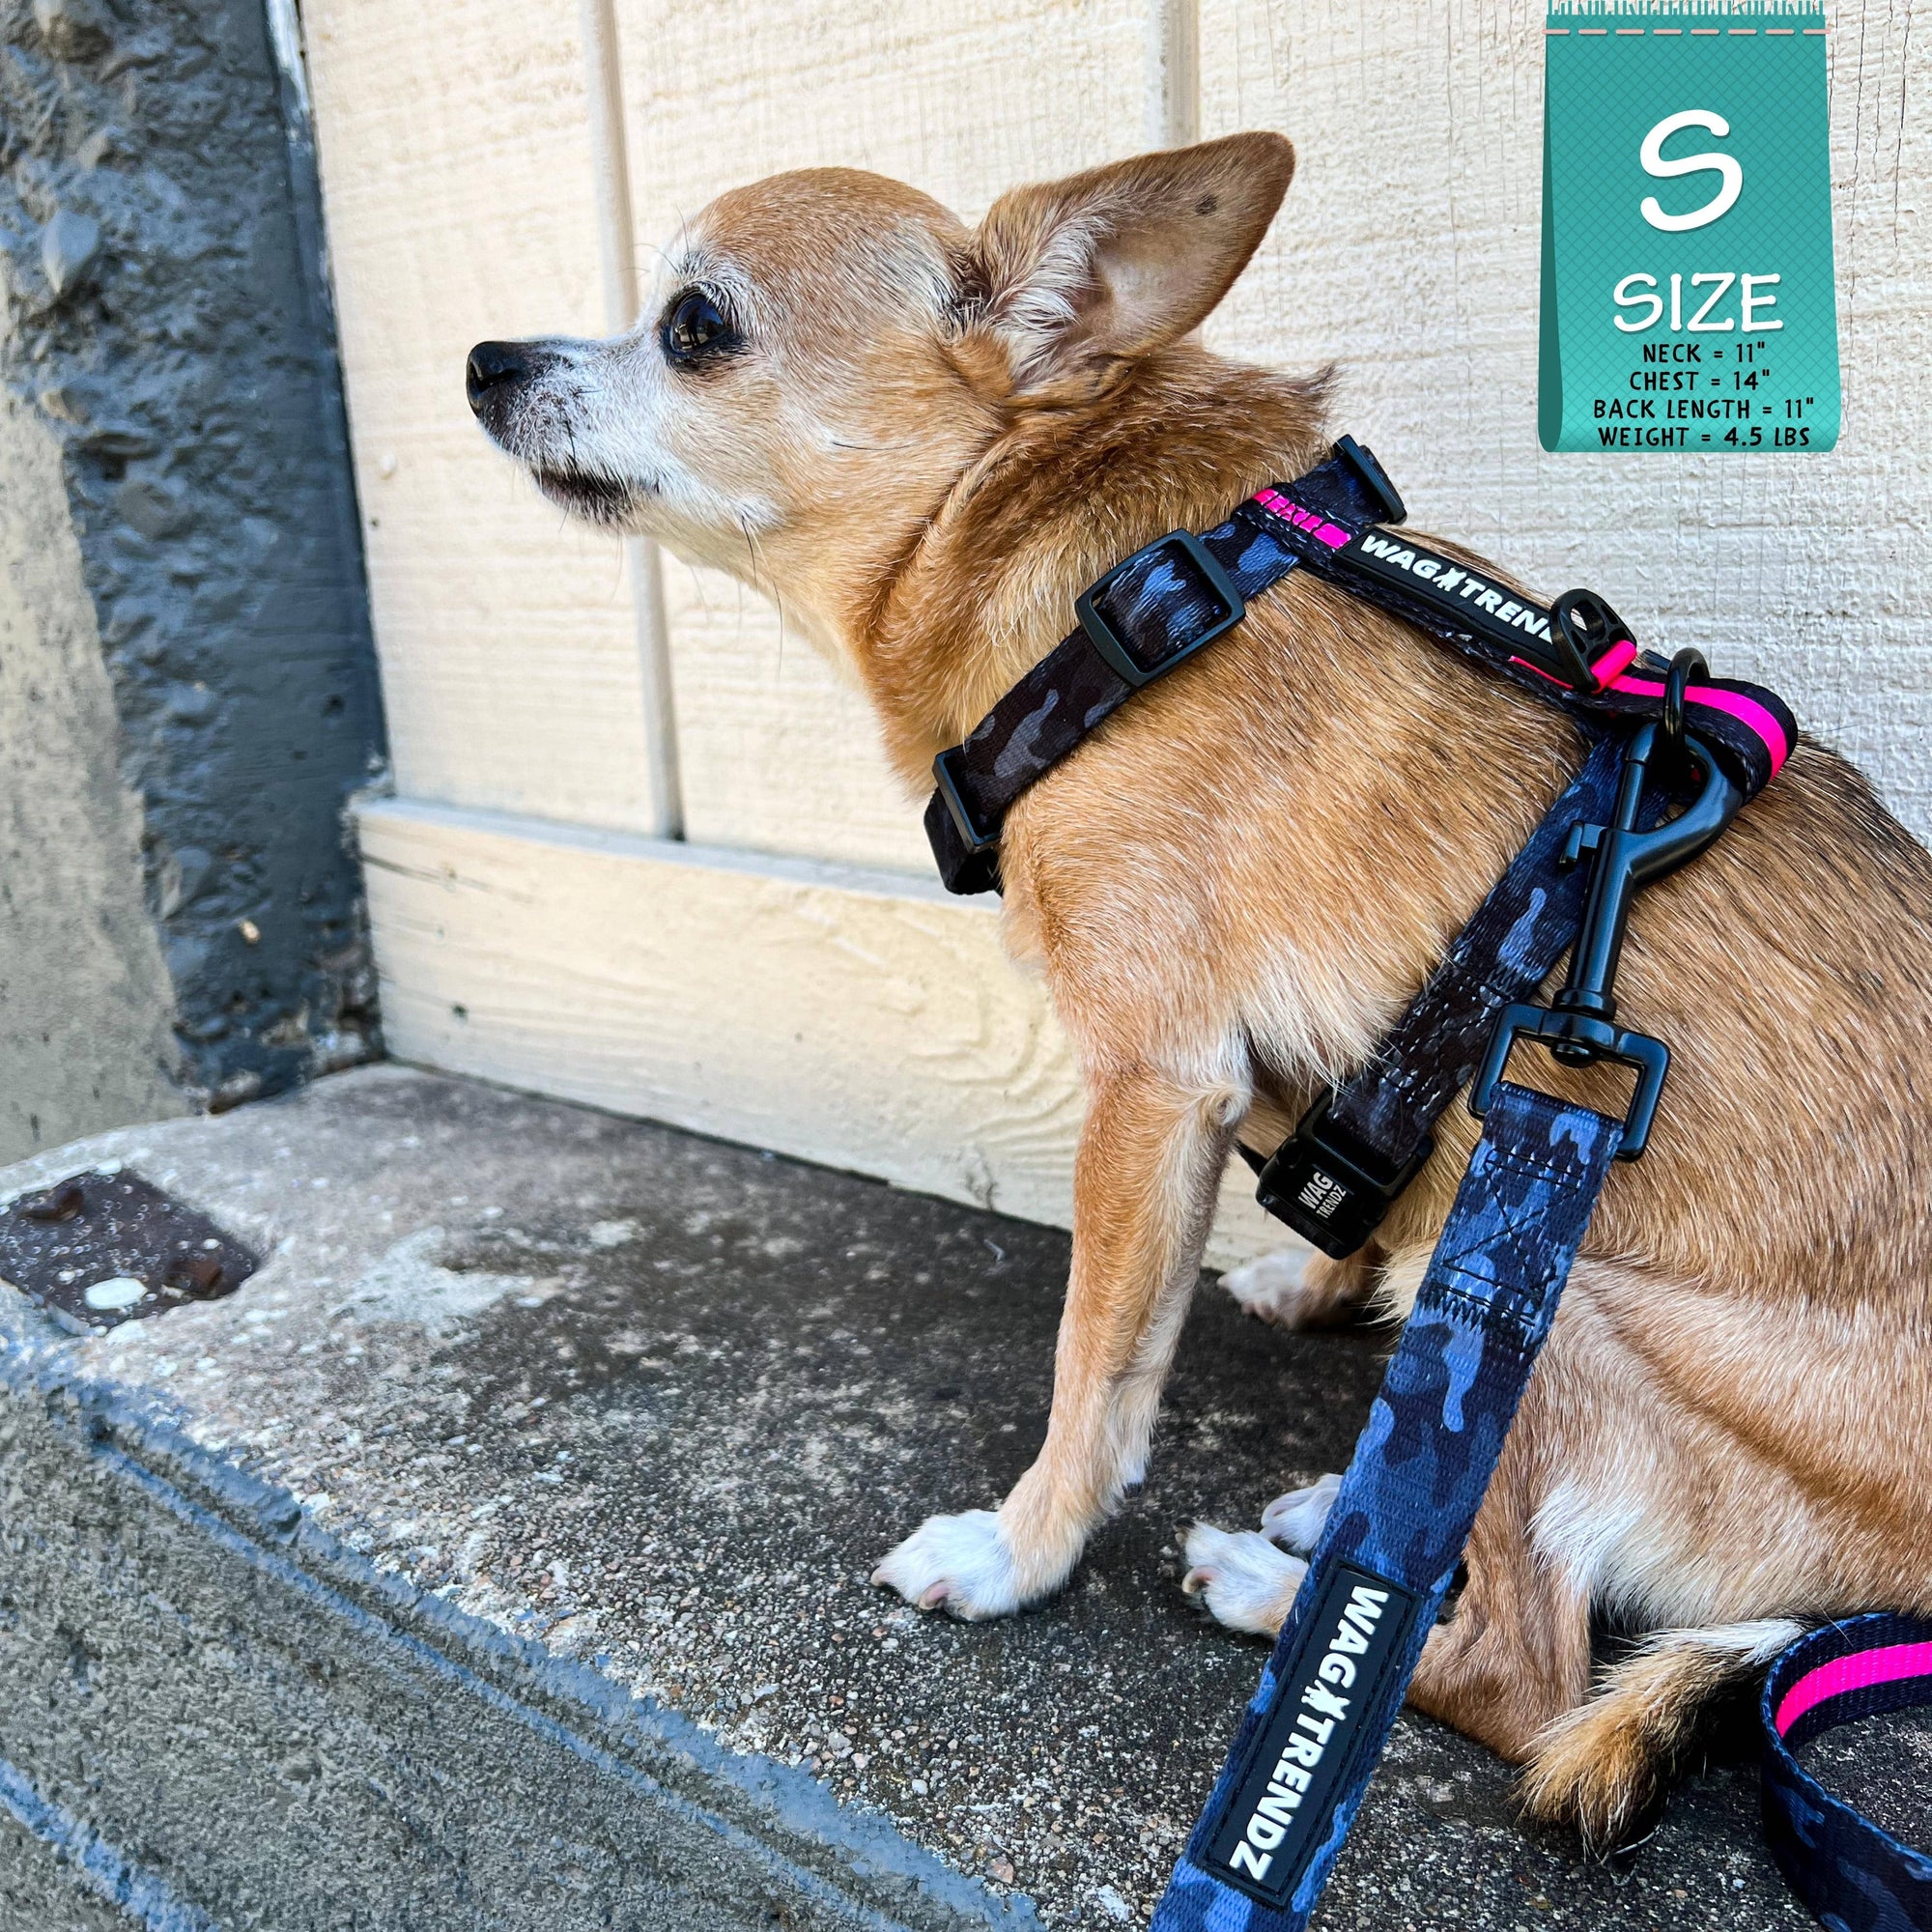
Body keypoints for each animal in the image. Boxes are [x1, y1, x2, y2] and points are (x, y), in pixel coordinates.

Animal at [465, 132, 1932, 1846]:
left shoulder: (1155, 1087)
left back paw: (1270, 1592)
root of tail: (1896, 1591)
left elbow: (1096, 1373)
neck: (1113, 606)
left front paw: (1017, 1554)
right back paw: (1340, 1499)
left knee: (1520, 1671)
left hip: (1543, 1283)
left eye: (694, 326)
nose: (487, 359)